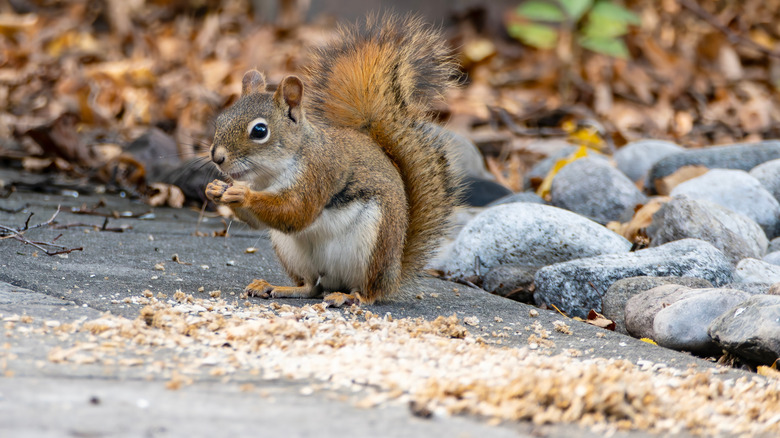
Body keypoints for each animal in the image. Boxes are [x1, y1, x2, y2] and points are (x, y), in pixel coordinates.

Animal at [204, 14, 461, 307]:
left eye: (259, 131)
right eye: (221, 119)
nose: (217, 157)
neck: (269, 175)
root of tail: (394, 275)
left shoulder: (319, 173)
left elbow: (296, 211)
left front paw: (241, 194)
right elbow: (261, 221)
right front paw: (215, 189)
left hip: (372, 247)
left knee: (368, 293)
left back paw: (348, 297)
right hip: (293, 253)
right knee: (310, 287)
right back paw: (276, 287)